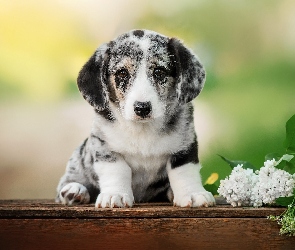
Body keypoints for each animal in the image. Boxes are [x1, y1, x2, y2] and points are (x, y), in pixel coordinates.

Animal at [56, 29, 216, 208]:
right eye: (122, 73)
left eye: (159, 72)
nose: (142, 108)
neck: (142, 129)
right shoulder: (105, 146)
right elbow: (117, 170)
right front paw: (115, 195)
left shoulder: (185, 146)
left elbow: (184, 172)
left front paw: (192, 193)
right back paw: (75, 191)